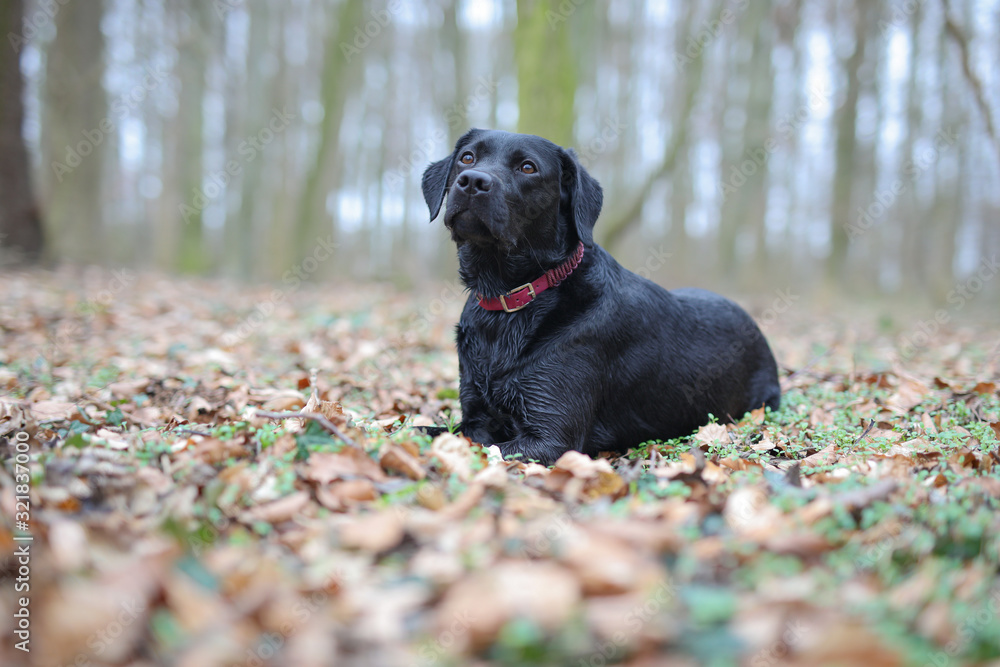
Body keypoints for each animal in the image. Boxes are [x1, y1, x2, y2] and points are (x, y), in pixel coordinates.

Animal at [422, 129, 780, 464]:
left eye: (527, 167)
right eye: (467, 158)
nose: (472, 181)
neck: (509, 302)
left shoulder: (551, 438)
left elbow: (480, 450)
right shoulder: (476, 417)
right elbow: (428, 430)